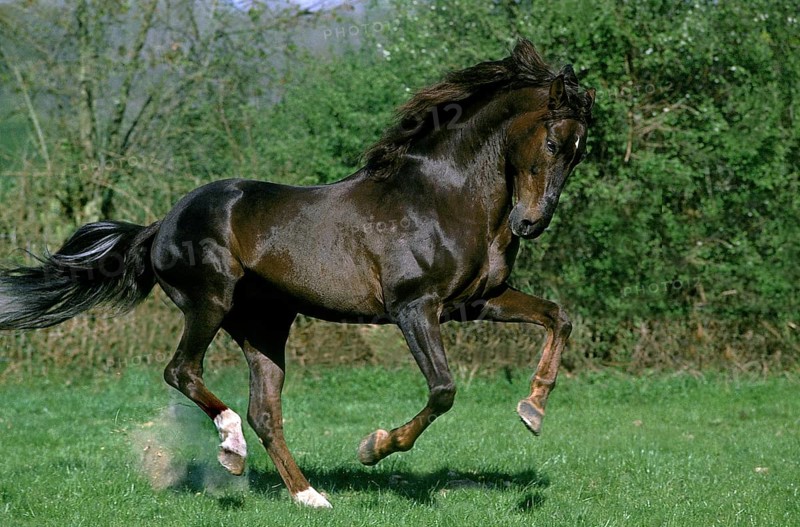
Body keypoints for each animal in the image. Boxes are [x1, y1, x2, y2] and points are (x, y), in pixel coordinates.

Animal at [0, 39, 594, 508]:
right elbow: (444, 390)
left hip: (263, 327)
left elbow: (558, 318)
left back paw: (309, 495)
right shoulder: (414, 308)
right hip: (210, 304)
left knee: (265, 411)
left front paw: (532, 410)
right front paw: (374, 448)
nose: (529, 223)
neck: (441, 197)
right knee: (183, 373)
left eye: (579, 152)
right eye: (551, 142)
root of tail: (161, 224)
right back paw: (232, 448)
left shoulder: (477, 301)